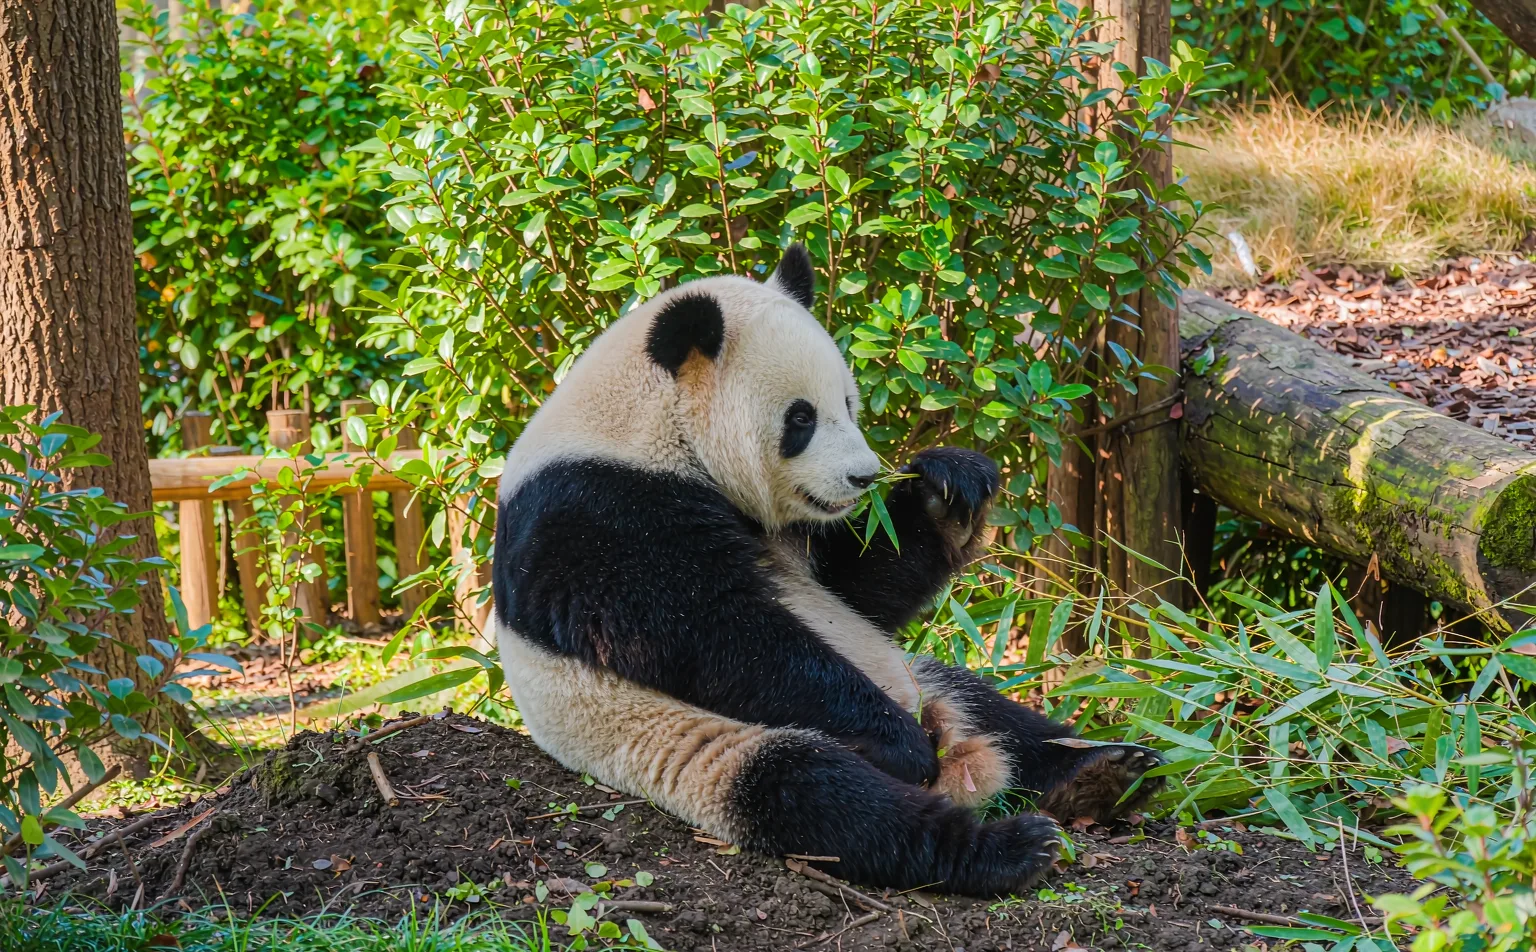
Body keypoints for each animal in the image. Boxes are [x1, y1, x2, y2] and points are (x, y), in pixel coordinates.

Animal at [492, 246, 1162, 896]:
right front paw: (897, 743)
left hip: (918, 676)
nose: (863, 477)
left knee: (991, 709)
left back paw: (1101, 771)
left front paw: (948, 488)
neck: (647, 418)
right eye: (800, 418)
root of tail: (965, 765)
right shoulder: (594, 509)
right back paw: (1003, 843)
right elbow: (707, 631)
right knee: (821, 796)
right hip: (699, 744)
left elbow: (857, 590)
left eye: (847, 401)